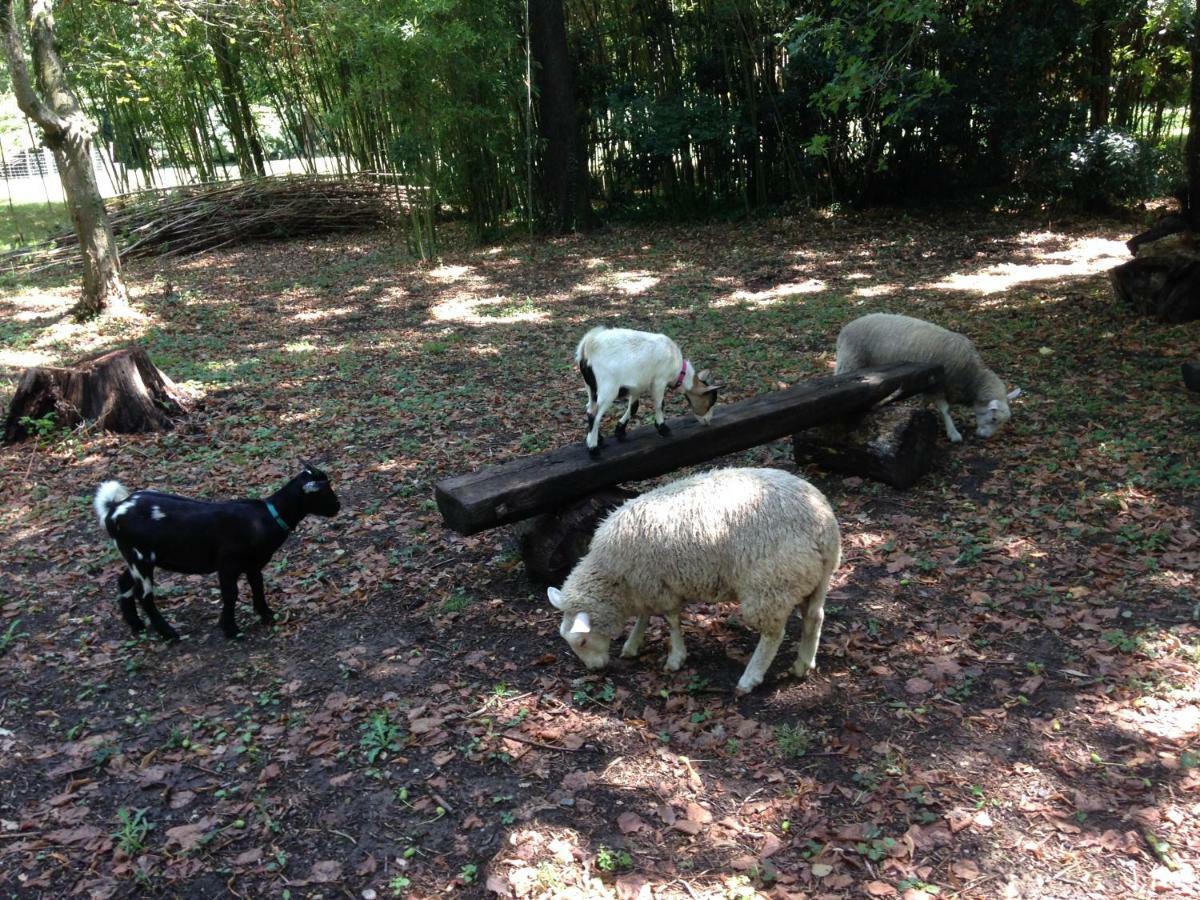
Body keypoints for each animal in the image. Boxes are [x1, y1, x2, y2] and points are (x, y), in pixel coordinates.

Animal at [90, 465, 338, 643]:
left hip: (135, 558)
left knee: (124, 582)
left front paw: (267, 615)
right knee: (145, 595)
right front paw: (230, 630)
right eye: (325, 491)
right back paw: (169, 634)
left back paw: (136, 625)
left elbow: (258, 586)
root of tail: (114, 509)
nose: (337, 506)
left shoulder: (253, 564)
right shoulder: (227, 564)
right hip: (140, 558)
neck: (266, 516)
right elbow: (231, 594)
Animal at [547, 468, 840, 696]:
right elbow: (644, 616)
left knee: (773, 635)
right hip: (814, 579)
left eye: (581, 642)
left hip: (770, 583)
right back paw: (803, 664)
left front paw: (676, 657)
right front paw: (632, 644)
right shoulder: (645, 585)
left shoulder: (658, 585)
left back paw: (749, 678)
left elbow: (671, 621)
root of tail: (824, 526)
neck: (614, 578)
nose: (594, 670)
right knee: (815, 617)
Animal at [576, 328, 715, 458]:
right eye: (710, 403)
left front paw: (620, 431)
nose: (708, 422)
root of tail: (587, 345)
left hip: (591, 387)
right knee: (595, 415)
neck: (678, 369)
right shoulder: (659, 381)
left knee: (589, 409)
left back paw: (598, 439)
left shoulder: (637, 387)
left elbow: (633, 408)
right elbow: (659, 405)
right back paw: (593, 449)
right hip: (608, 389)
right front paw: (663, 429)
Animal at [835, 314, 1022, 444]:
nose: (984, 438)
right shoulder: (937, 385)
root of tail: (847, 327)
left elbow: (925, 402)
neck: (971, 377)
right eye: (994, 419)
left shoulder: (928, 383)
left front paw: (920, 412)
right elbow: (946, 410)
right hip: (850, 361)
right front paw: (953, 433)